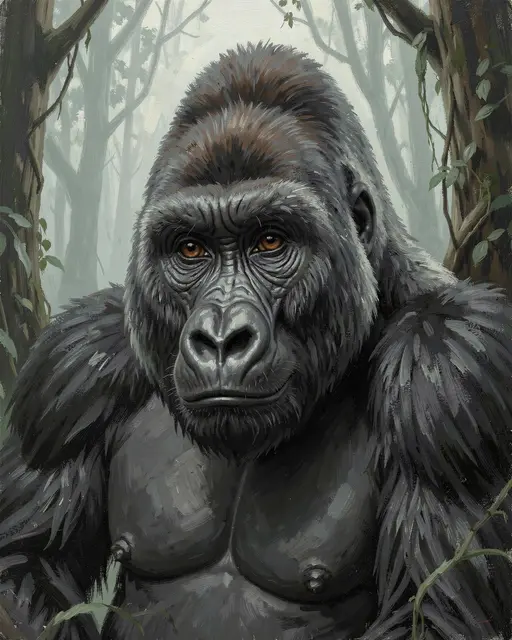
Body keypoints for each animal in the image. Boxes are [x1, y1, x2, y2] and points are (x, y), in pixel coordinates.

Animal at [0, 41, 511, 640]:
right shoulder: (72, 370)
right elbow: (26, 564)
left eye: (270, 241)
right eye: (190, 249)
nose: (221, 339)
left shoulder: (449, 372)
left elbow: (431, 611)